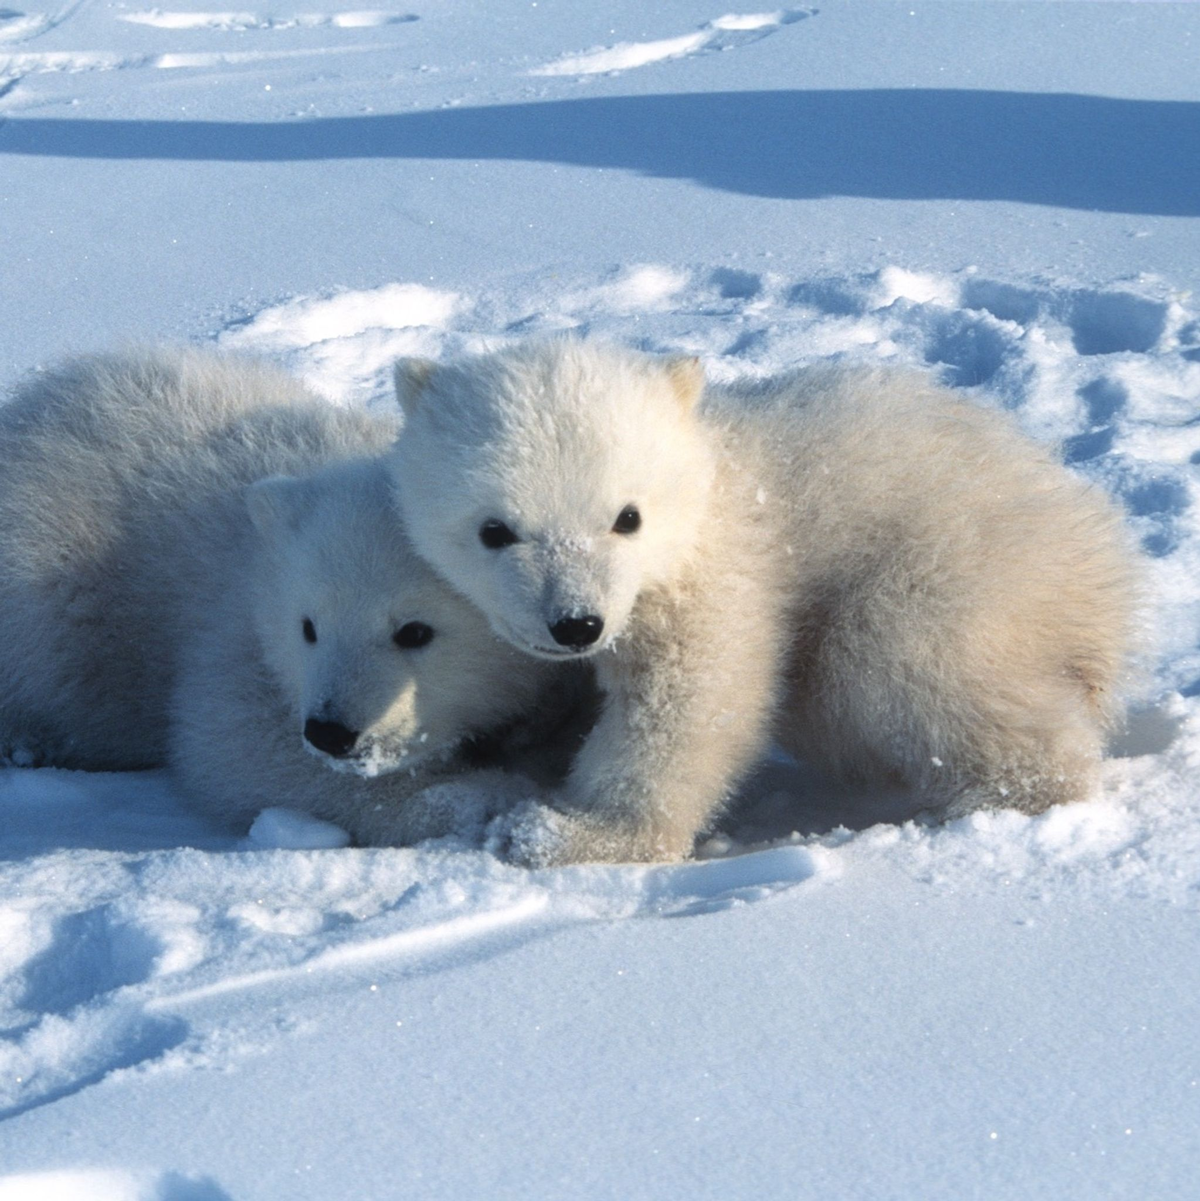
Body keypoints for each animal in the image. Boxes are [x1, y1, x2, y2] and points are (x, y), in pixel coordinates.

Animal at [388, 338, 1139, 865]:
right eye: (494, 529)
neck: (713, 478)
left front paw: (563, 832)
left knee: (893, 664)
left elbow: (691, 701)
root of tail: (1107, 566)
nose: (576, 624)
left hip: (964, 569)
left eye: (627, 516)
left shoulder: (717, 574)